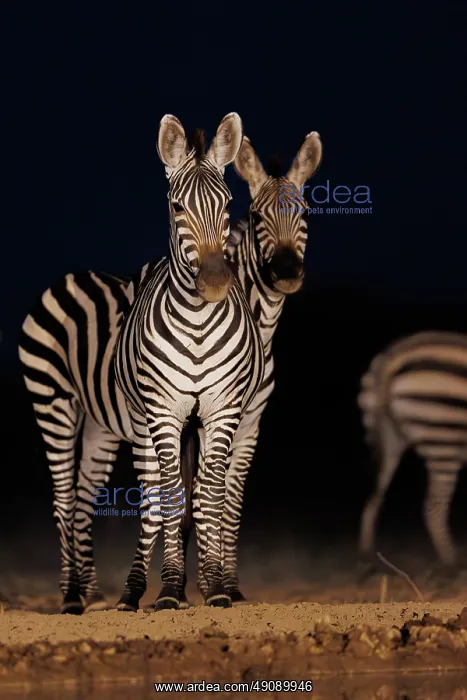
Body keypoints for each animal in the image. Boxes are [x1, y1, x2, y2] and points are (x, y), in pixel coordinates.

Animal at [112, 111, 266, 611]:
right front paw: (169, 589)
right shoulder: (164, 412)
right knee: (152, 497)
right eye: (177, 208)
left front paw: (214, 587)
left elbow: (211, 494)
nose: (216, 283)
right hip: (143, 422)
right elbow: (171, 495)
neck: (197, 325)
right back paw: (133, 592)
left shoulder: (223, 410)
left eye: (229, 204)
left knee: (201, 491)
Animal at [358, 331, 467, 575]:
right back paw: (453, 566)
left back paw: (371, 563)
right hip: (444, 438)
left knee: (374, 498)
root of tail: (391, 357)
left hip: (390, 438)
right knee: (433, 508)